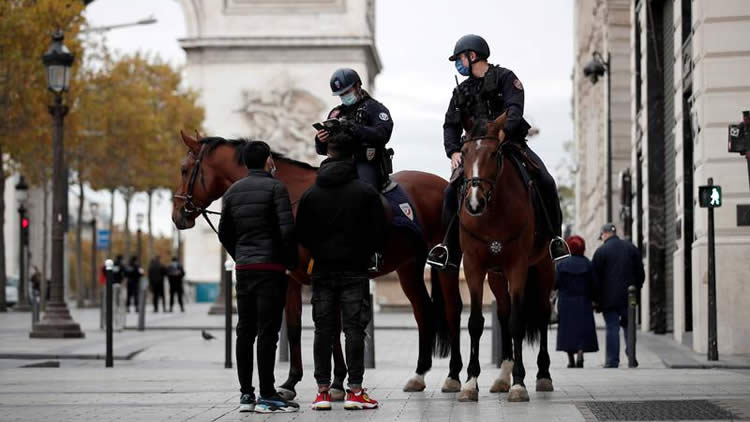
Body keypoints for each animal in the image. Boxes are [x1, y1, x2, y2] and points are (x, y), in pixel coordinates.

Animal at [173, 132, 468, 398]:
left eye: (184, 169)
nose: (177, 215)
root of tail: (444, 182)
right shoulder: (292, 277)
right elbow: (295, 327)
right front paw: (294, 381)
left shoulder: (326, 273)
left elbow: (332, 327)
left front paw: (337, 382)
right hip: (408, 266)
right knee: (423, 312)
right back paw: (419, 374)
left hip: (445, 263)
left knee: (453, 310)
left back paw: (453, 376)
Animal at [456, 113, 556, 404]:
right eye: (464, 153)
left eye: (493, 153)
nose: (474, 202)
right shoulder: (474, 267)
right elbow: (476, 323)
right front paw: (470, 382)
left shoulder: (518, 267)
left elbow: (518, 322)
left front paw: (520, 383)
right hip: (496, 277)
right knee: (502, 312)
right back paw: (503, 376)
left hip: (543, 269)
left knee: (542, 314)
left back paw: (543, 375)